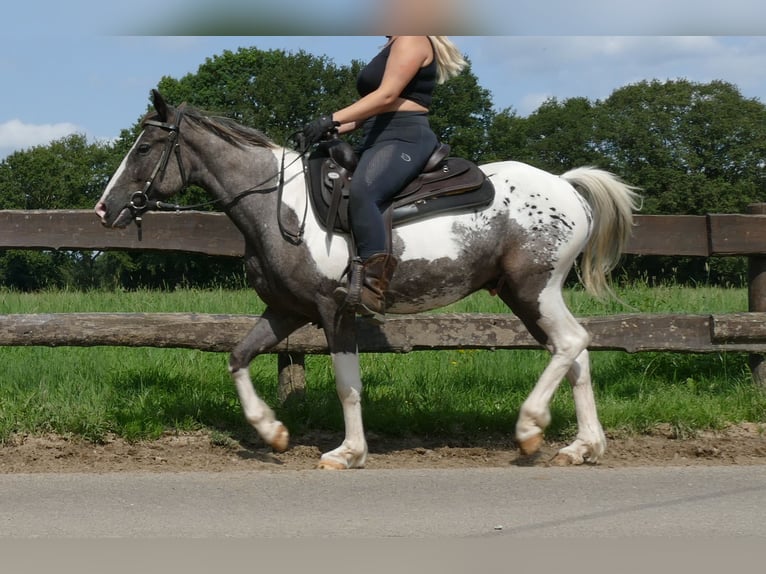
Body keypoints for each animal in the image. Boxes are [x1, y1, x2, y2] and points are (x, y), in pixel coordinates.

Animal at [94, 89, 640, 468]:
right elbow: (238, 357)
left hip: (533, 289)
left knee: (571, 343)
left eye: (145, 147)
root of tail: (565, 185)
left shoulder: (333, 309)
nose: (105, 209)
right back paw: (581, 447)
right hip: (526, 295)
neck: (278, 205)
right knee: (574, 352)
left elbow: (347, 384)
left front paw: (348, 452)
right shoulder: (285, 310)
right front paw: (272, 431)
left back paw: (531, 429)